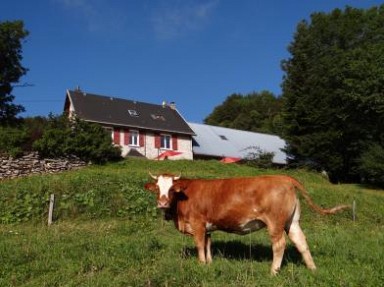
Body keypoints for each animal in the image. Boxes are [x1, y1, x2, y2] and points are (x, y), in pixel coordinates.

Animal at [143, 174, 348, 276]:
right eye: (158, 189)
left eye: (171, 189)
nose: (162, 202)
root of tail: (284, 177)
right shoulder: (208, 227)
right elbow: (208, 245)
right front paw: (209, 264)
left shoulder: (198, 223)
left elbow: (200, 245)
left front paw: (201, 265)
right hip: (292, 222)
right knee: (301, 242)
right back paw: (312, 269)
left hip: (275, 222)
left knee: (279, 245)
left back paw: (273, 272)